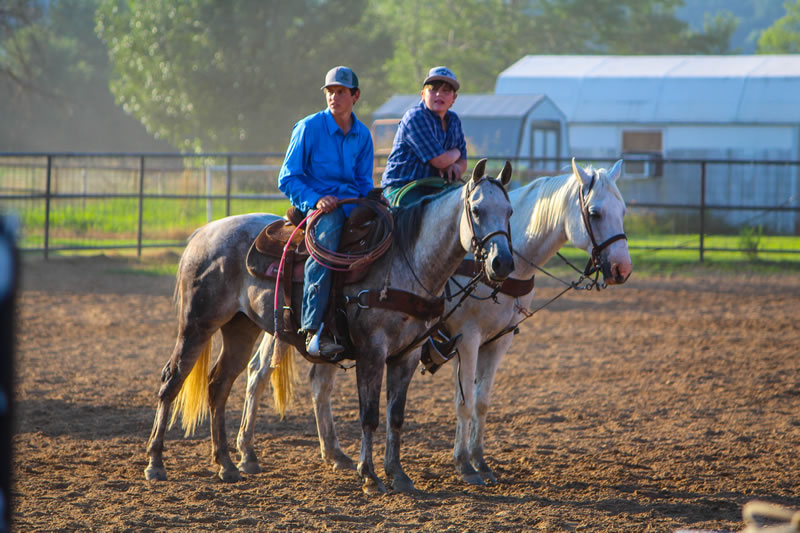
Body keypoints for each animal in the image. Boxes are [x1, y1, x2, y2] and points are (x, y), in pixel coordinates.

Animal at [145, 158, 512, 494]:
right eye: (476, 210)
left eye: (509, 211)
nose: (502, 263)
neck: (406, 261)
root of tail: (203, 234)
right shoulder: (372, 351)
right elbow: (369, 414)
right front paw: (370, 476)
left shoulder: (406, 355)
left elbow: (395, 416)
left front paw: (398, 475)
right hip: (197, 325)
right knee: (173, 379)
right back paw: (156, 462)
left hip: (240, 329)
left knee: (219, 385)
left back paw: (226, 463)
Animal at [236, 156, 632, 484]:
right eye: (595, 213)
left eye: (624, 209)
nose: (622, 269)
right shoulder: (467, 340)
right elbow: (464, 402)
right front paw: (465, 465)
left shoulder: (498, 342)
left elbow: (481, 402)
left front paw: (481, 461)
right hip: (281, 329)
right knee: (258, 374)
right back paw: (247, 454)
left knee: (318, 383)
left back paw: (334, 455)